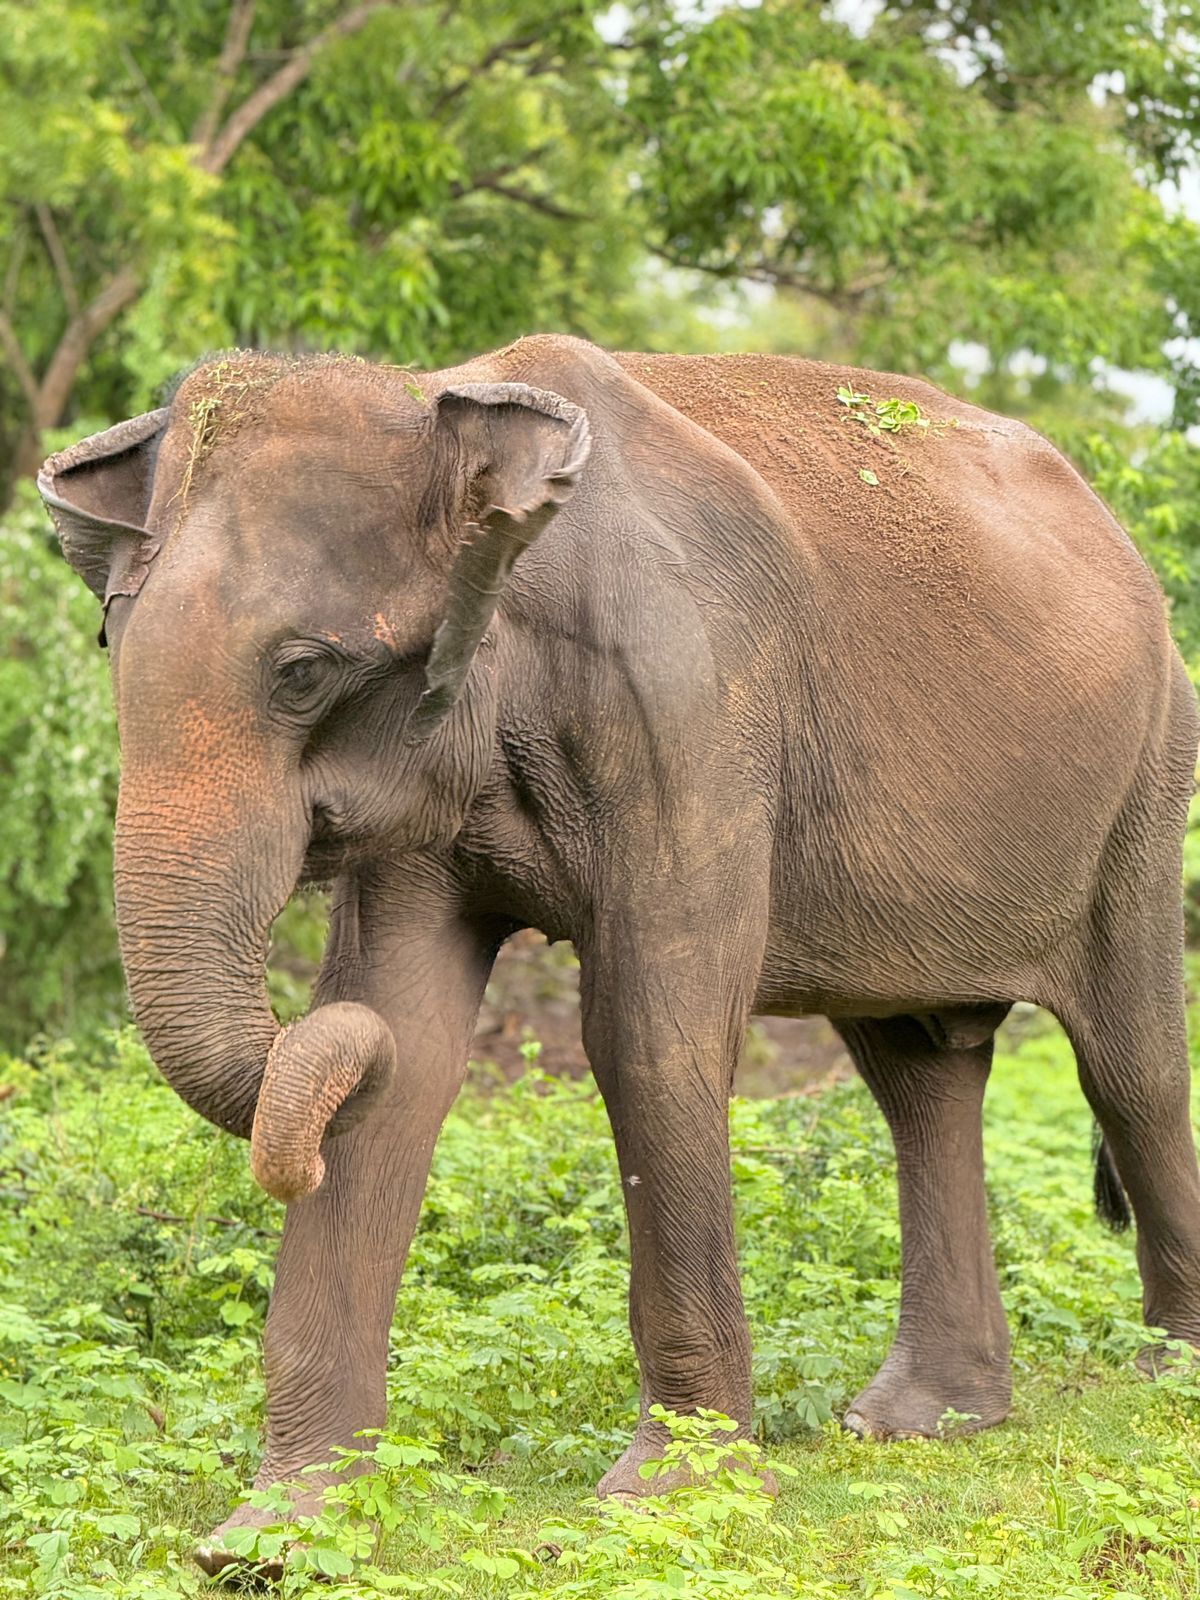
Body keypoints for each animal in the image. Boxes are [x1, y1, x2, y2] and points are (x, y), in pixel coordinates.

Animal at [40, 335, 1200, 1575]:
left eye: (303, 671)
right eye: (111, 641)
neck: (445, 409)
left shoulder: (692, 703)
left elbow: (648, 1032)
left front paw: (672, 1497)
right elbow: (406, 1037)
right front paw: (273, 1537)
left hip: (1147, 779)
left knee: (1128, 1067)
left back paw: (1164, 1376)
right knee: (919, 1075)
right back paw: (920, 1422)